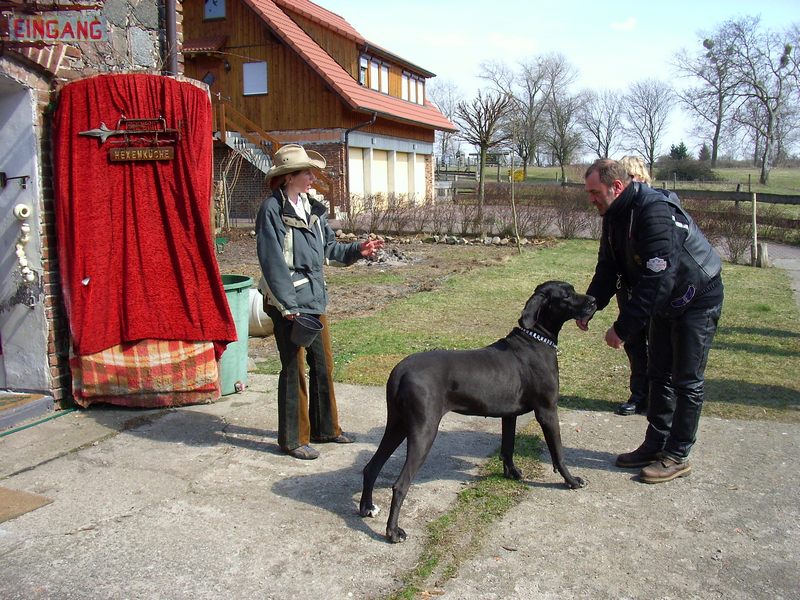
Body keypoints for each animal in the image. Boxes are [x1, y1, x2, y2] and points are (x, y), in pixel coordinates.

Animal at [360, 282, 596, 544]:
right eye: (566, 295)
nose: (594, 301)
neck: (536, 339)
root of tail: (401, 370)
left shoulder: (509, 415)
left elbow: (508, 447)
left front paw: (511, 473)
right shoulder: (547, 411)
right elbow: (558, 453)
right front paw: (572, 480)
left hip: (397, 424)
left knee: (372, 466)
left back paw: (367, 508)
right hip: (424, 430)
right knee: (400, 484)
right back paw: (393, 532)